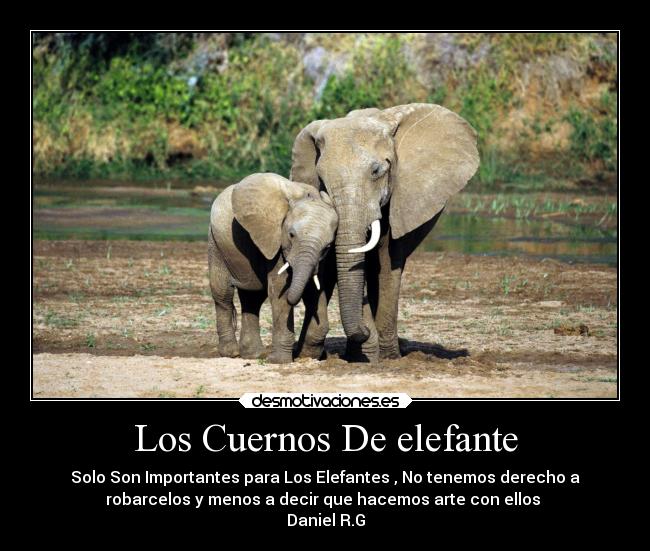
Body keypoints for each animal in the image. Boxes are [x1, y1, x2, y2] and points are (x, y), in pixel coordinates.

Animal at [208, 173, 338, 364]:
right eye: (291, 235)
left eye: (328, 247)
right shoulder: (275, 241)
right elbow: (279, 292)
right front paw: (279, 361)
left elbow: (315, 290)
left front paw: (307, 356)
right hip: (216, 244)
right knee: (223, 294)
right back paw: (232, 353)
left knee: (252, 298)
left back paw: (253, 355)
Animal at [290, 103, 479, 363]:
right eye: (322, 179)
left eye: (376, 171)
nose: (364, 330)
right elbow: (331, 264)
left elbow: (388, 262)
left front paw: (386, 357)